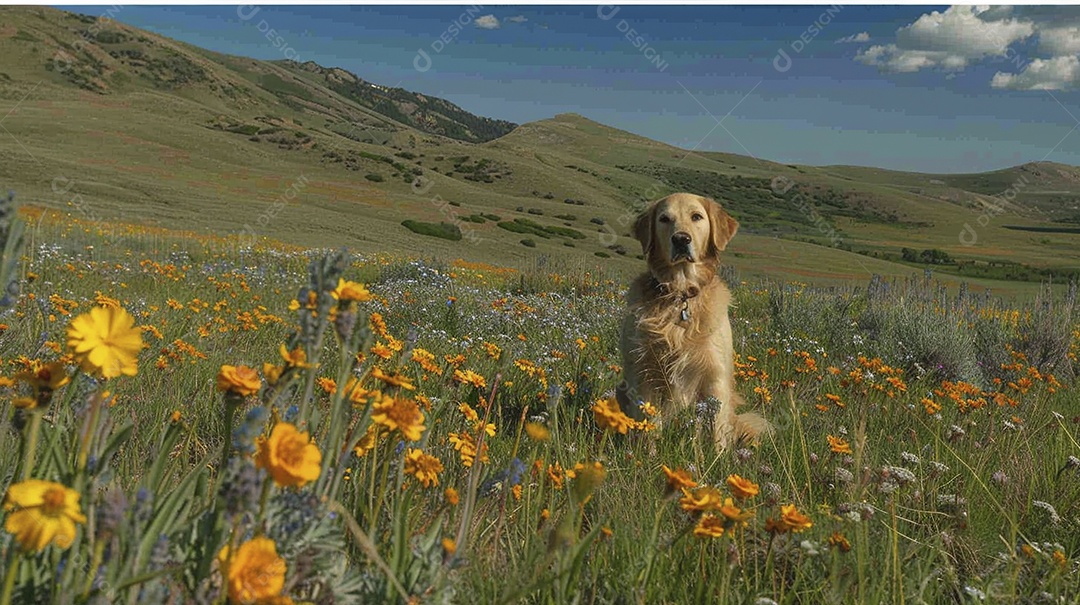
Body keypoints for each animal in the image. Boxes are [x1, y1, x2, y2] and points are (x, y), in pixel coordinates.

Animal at [617, 192, 768, 449]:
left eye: (696, 217)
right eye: (664, 219)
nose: (681, 239)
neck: (680, 295)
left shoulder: (715, 375)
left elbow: (716, 431)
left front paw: (717, 458)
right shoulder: (643, 371)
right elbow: (649, 425)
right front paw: (645, 455)